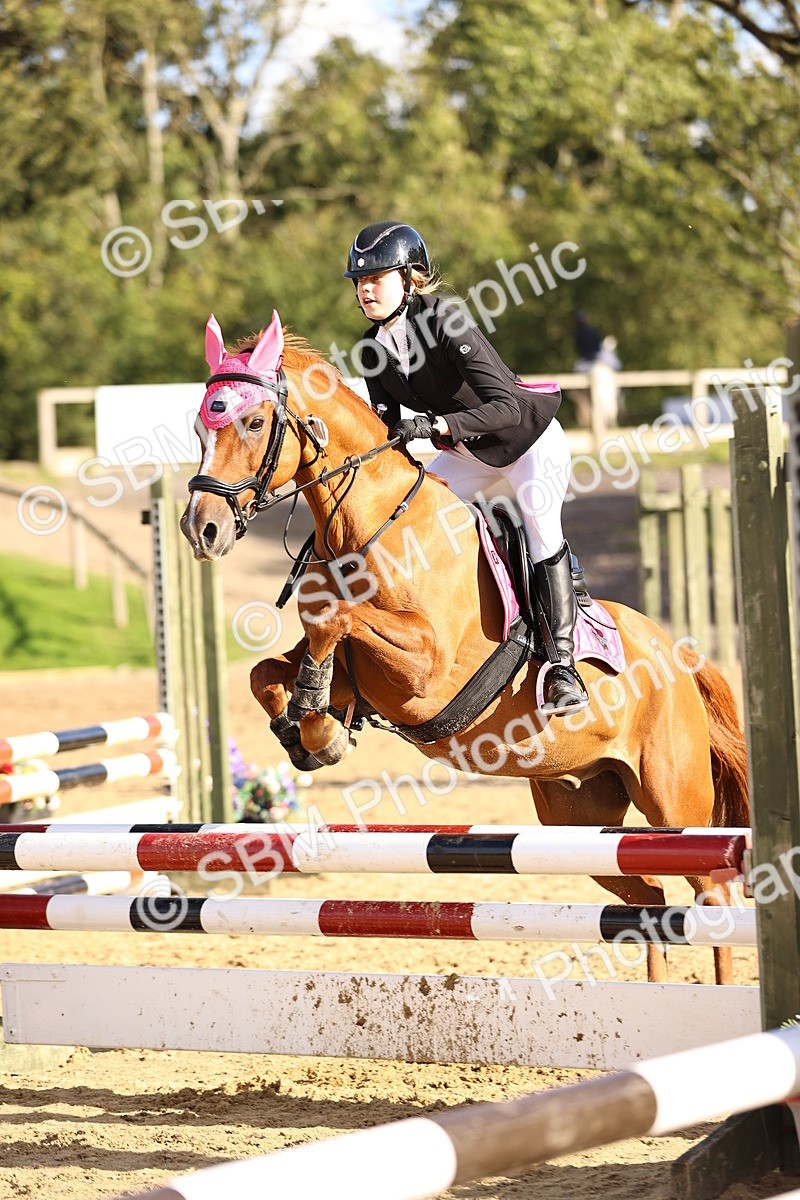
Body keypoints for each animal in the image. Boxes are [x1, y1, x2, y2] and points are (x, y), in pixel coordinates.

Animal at [181, 311, 749, 984]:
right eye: (198, 426)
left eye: (252, 423)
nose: (201, 529)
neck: (369, 523)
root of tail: (678, 657)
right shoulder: (358, 670)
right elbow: (271, 669)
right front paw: (311, 732)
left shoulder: (425, 671)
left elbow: (331, 618)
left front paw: (318, 722)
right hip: (579, 816)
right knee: (651, 901)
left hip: (672, 800)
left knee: (713, 895)